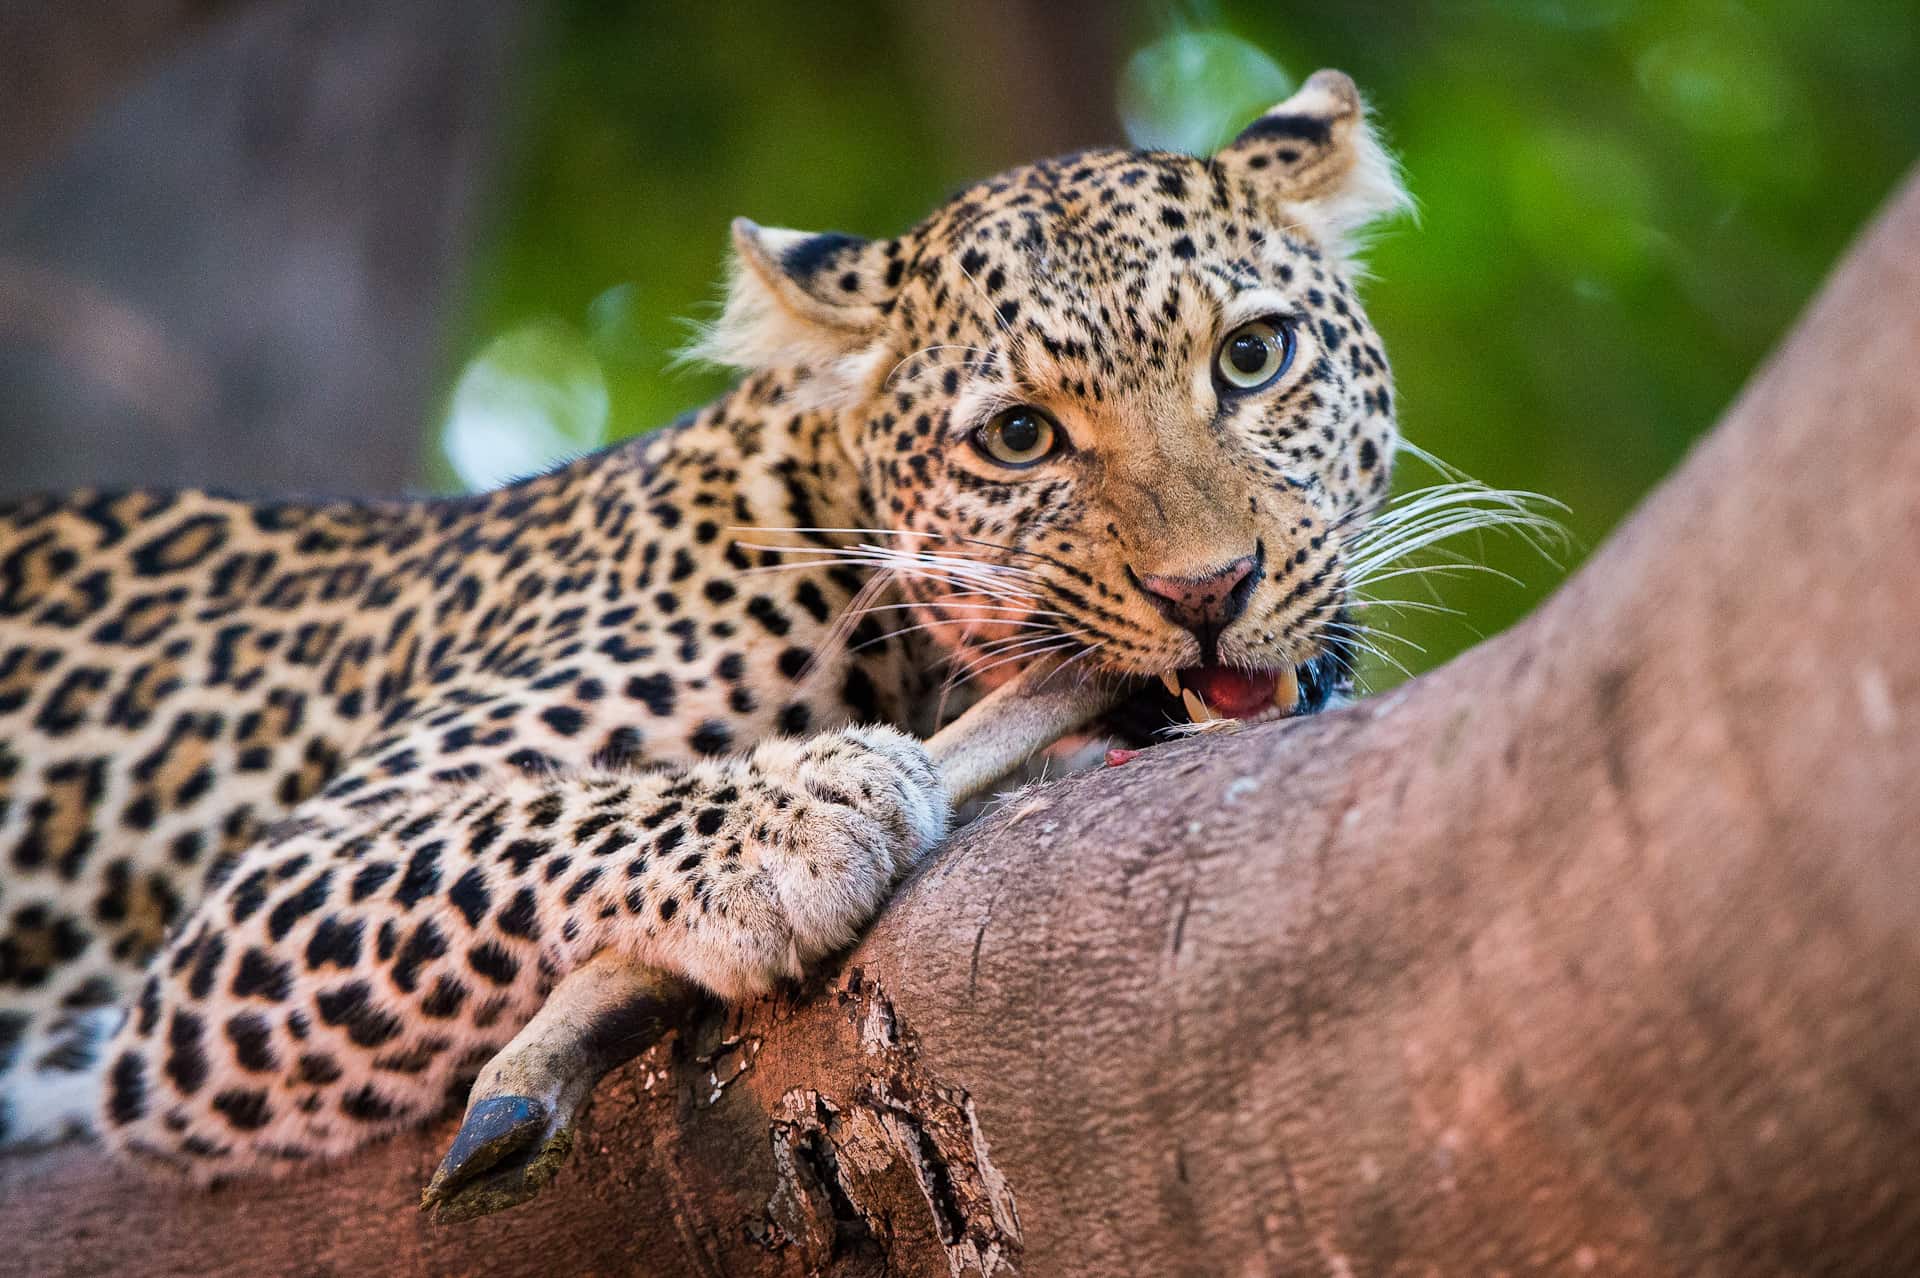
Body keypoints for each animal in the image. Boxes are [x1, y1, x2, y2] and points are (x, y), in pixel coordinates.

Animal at [0, 70, 1414, 1200]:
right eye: (1021, 438)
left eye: (1252, 357)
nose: (1210, 590)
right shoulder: (241, 925)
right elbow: (513, 827)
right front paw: (799, 819)